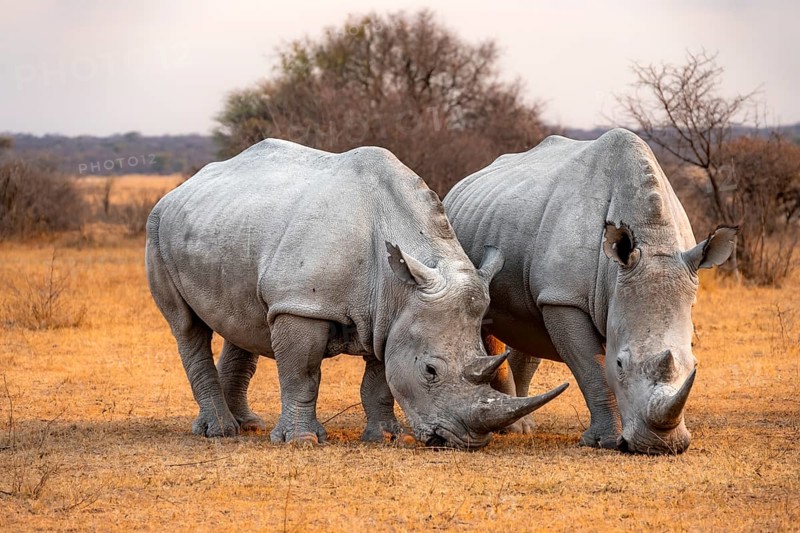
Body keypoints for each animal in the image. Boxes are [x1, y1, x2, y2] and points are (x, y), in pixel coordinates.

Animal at [145, 139, 567, 449]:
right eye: (430, 371)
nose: (464, 441)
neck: (401, 288)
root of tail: (180, 188)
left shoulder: (392, 314)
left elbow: (379, 380)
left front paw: (385, 437)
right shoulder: (303, 305)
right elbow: (302, 373)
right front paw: (301, 441)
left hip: (228, 226)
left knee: (245, 320)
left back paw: (246, 426)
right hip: (157, 228)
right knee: (187, 327)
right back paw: (220, 431)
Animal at [443, 129, 737, 454]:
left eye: (694, 365)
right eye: (620, 364)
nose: (661, 446)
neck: (653, 240)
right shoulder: (564, 297)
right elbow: (592, 368)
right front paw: (605, 441)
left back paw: (523, 427)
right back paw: (511, 429)